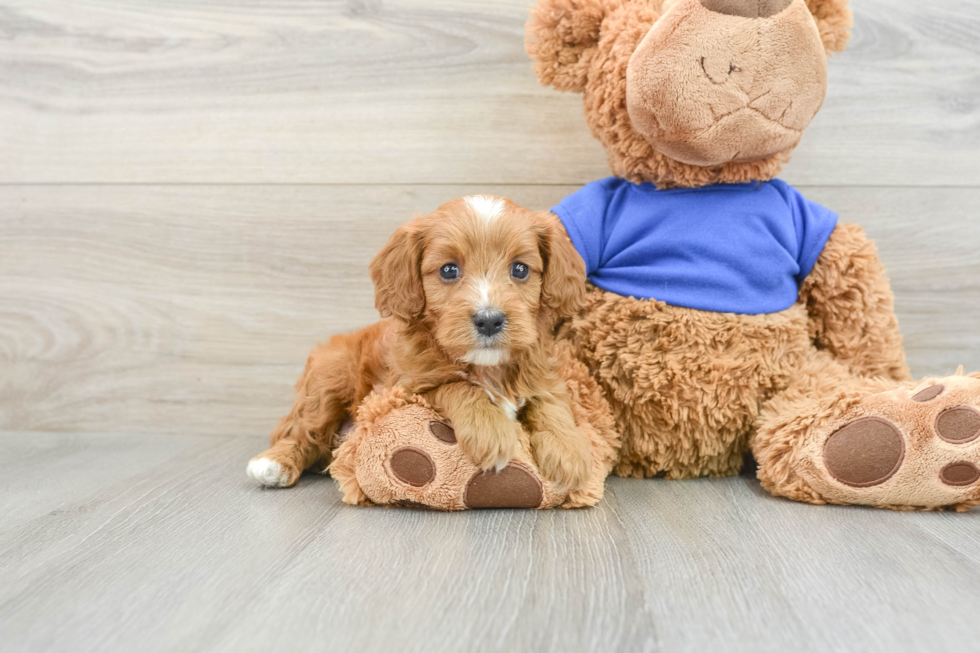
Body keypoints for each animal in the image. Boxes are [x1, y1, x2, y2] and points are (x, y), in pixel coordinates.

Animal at [249, 196, 592, 492]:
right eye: (449, 270)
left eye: (520, 269)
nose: (489, 320)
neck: (487, 367)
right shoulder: (406, 387)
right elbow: (458, 386)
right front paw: (491, 431)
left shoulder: (542, 375)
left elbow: (550, 404)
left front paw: (569, 451)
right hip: (329, 376)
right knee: (304, 429)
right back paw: (273, 464)